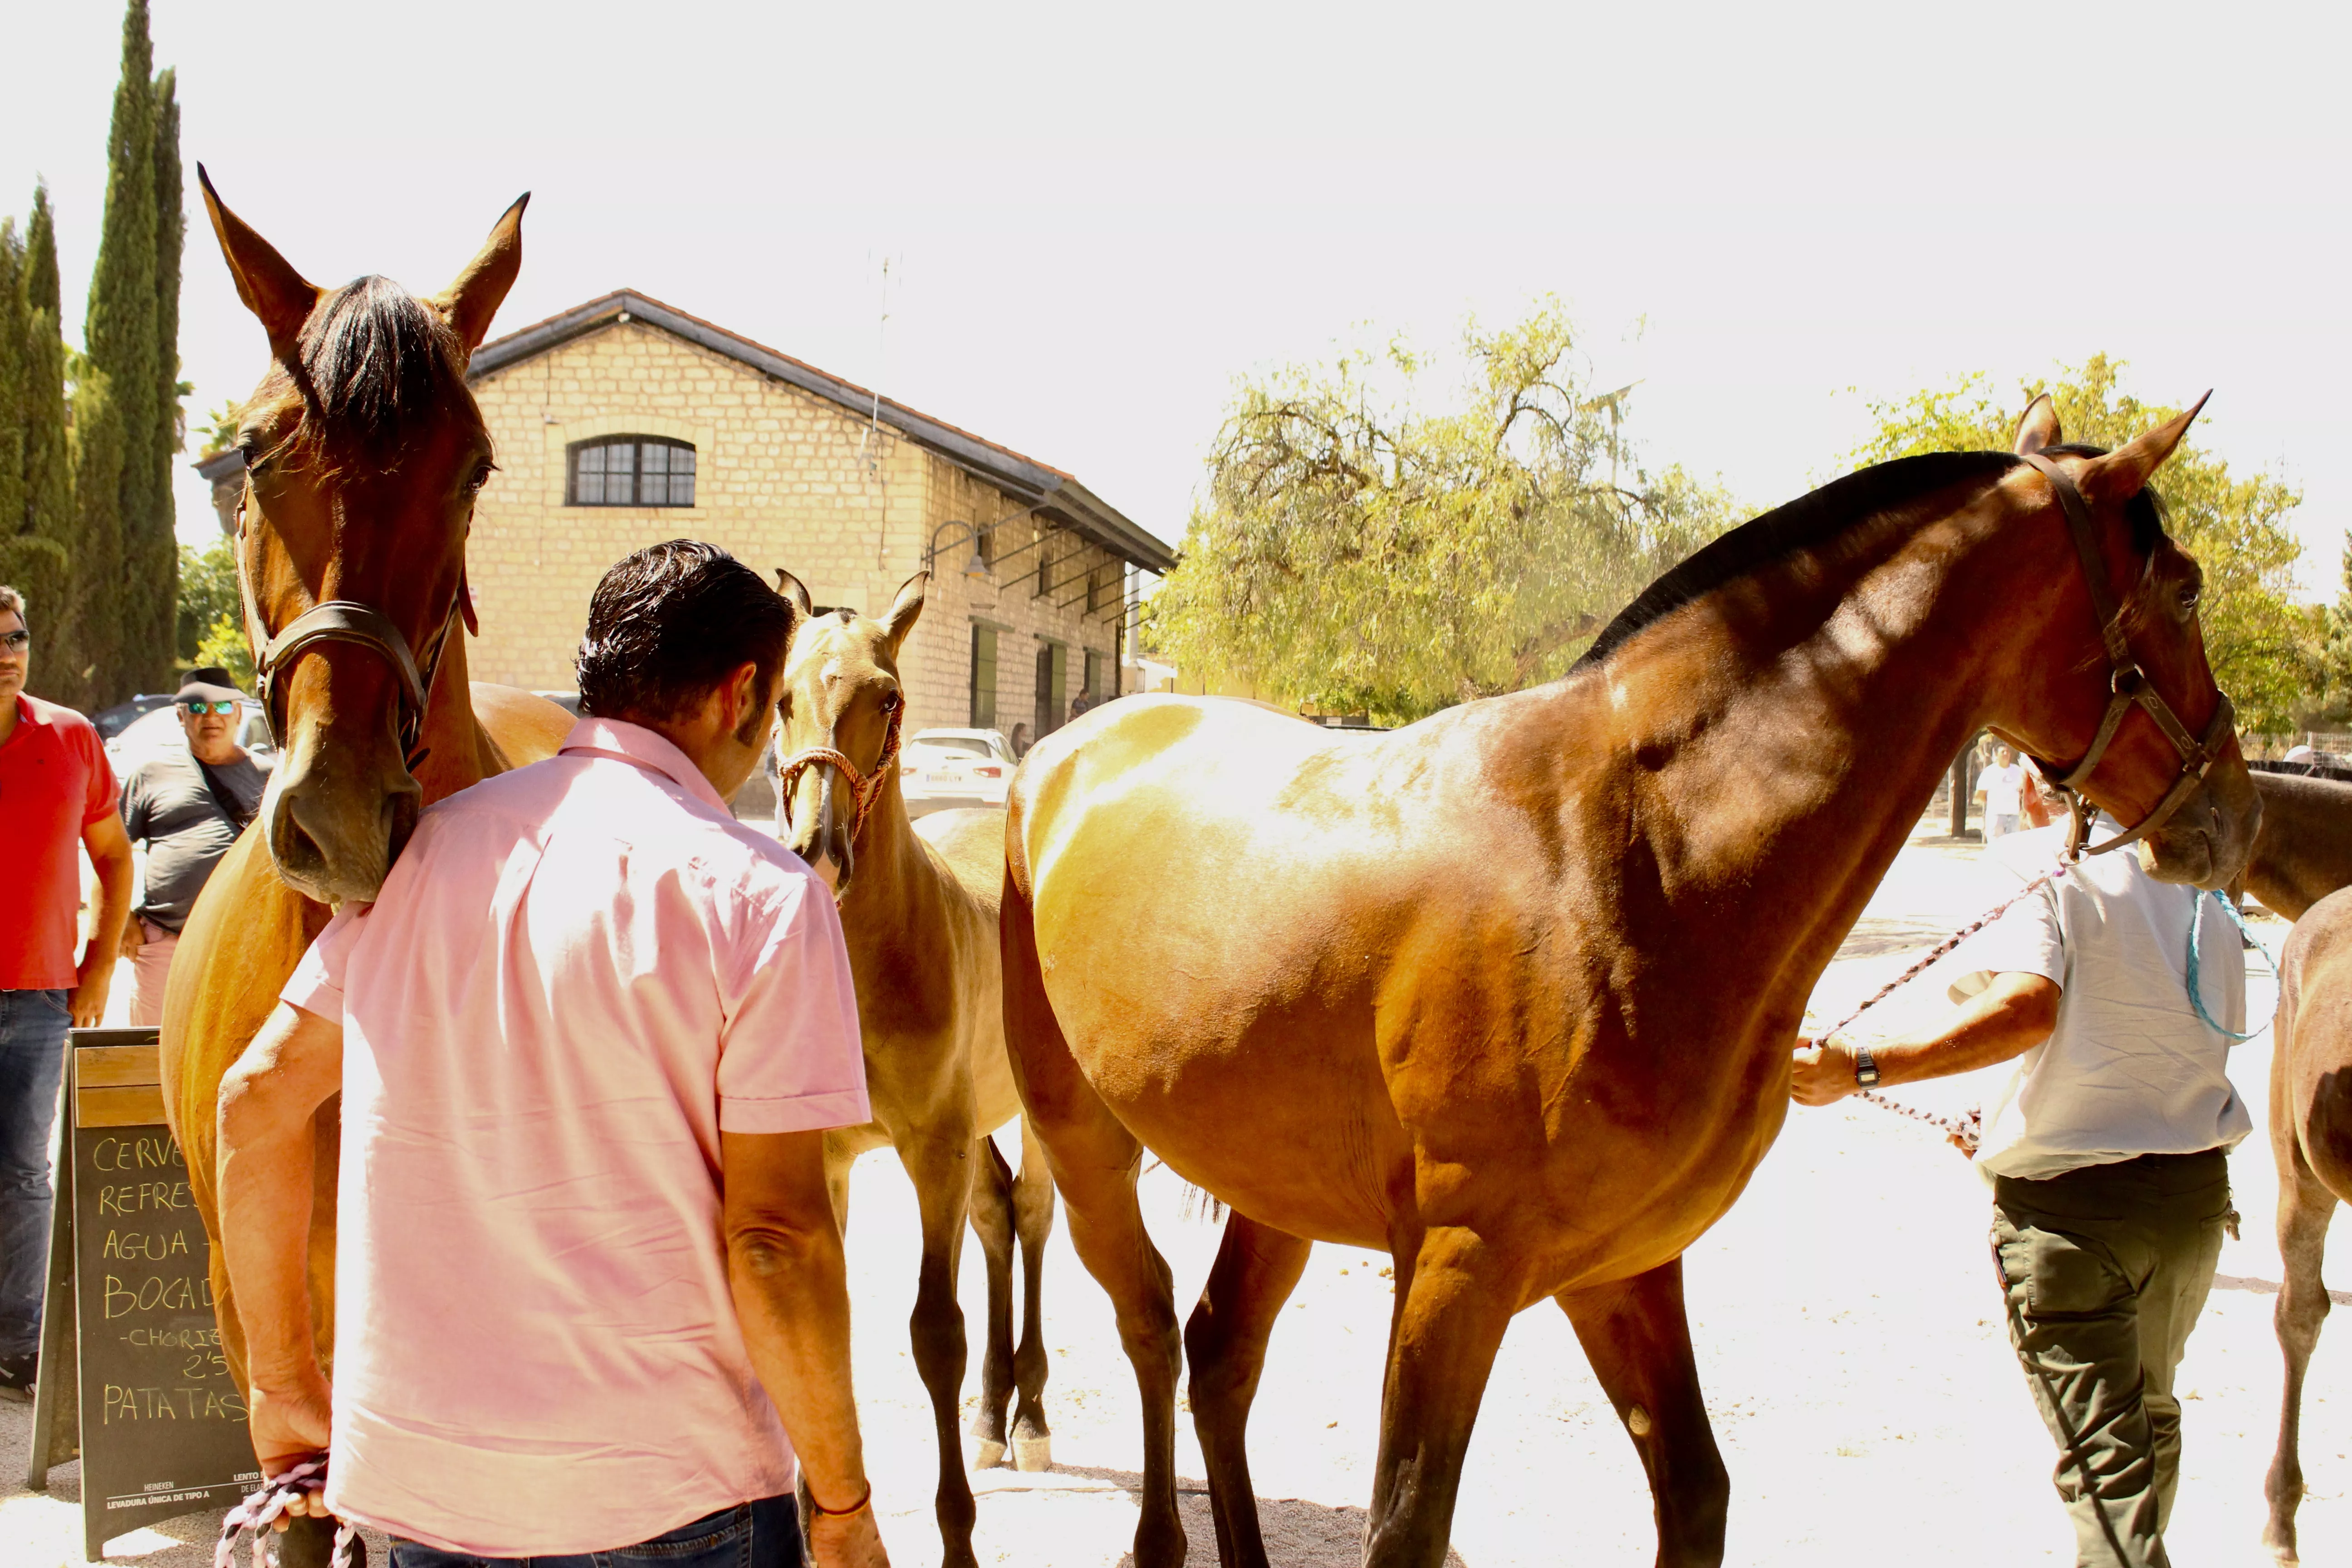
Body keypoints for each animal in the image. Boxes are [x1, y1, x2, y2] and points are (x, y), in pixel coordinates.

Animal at [771, 573, 1058, 1568]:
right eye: (780, 698)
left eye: (888, 698)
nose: (819, 850)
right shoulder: (830, 1157)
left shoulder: (930, 1147)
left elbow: (935, 1333)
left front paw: (958, 1535)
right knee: (997, 1216)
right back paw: (991, 1416)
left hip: (1026, 1114)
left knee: (1033, 1214)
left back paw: (1031, 1417)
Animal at [992, 395, 2258, 1568]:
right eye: (2186, 590)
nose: (2232, 813)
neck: (1631, 854)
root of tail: (1063, 752)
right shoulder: (1458, 1266)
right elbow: (1407, 1524)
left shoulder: (1626, 1263)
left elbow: (1694, 1494)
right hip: (1083, 1139)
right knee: (1151, 1327)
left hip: (1275, 1179)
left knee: (1220, 1356)